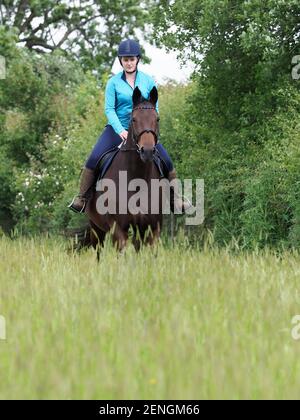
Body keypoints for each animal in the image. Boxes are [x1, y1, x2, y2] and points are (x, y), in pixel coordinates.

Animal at [85, 85, 164, 253]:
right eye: (133, 119)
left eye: (157, 119)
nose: (147, 151)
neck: (137, 178)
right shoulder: (118, 228)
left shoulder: (153, 228)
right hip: (96, 228)